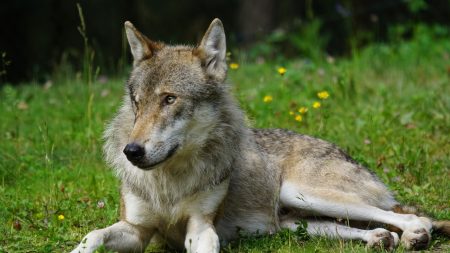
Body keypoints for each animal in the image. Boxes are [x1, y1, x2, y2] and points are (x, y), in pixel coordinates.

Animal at [71, 18, 450, 253]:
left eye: (169, 99)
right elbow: (92, 237)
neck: (170, 182)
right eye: (137, 103)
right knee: (377, 227)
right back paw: (380, 239)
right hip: (298, 221)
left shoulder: (200, 226)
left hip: (302, 192)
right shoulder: (136, 229)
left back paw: (414, 235)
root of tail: (344, 152)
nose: (131, 151)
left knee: (413, 217)